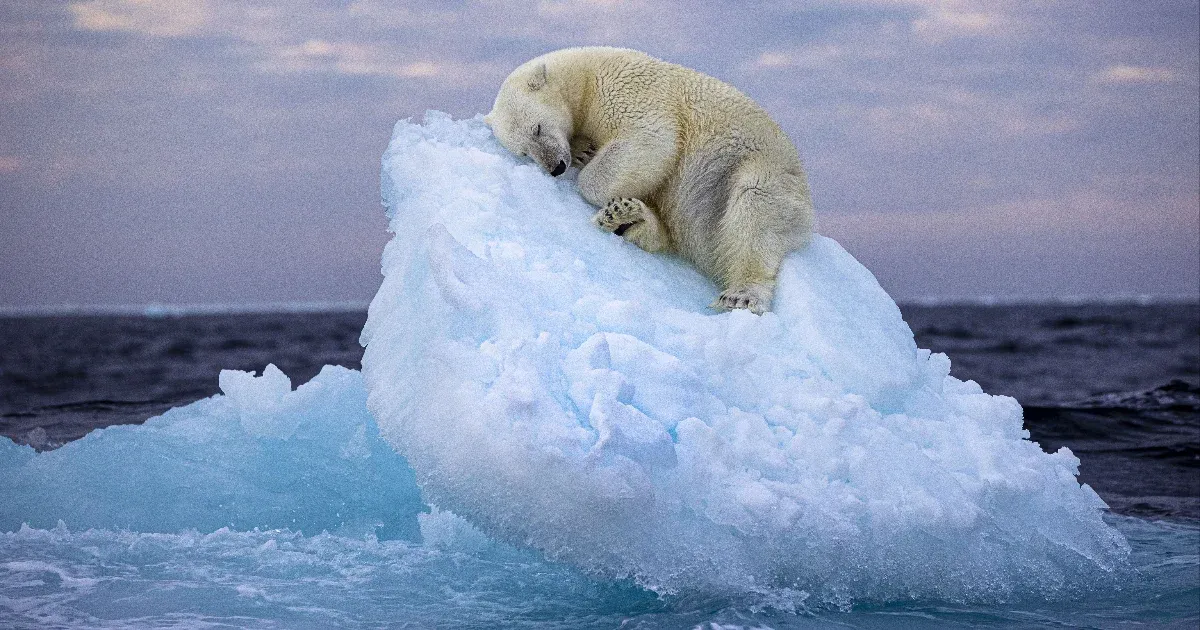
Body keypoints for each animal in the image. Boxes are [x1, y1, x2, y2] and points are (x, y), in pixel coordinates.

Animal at [484, 46, 816, 314]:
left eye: (537, 128)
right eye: (524, 152)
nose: (556, 167)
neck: (585, 75)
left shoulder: (626, 89)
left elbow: (652, 140)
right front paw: (583, 150)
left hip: (758, 170)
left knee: (754, 207)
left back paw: (742, 294)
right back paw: (628, 218)